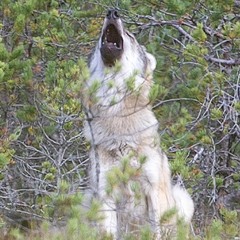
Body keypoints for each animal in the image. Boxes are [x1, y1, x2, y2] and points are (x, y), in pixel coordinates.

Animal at [83, 8, 194, 238]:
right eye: (99, 37)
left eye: (130, 36)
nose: (112, 12)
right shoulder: (105, 194)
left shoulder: (153, 190)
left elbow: (155, 231)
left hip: (182, 199)